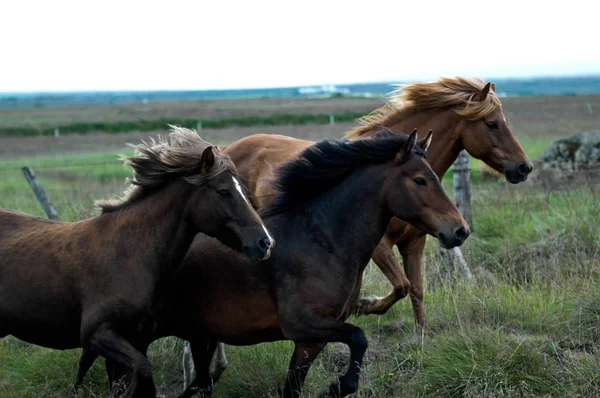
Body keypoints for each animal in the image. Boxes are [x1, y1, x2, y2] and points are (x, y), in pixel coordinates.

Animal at [0, 127, 274, 398]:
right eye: (223, 191)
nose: (265, 242)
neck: (127, 252)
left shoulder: (135, 338)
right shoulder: (97, 334)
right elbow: (140, 372)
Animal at [92, 129, 468, 396]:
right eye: (419, 180)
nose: (460, 231)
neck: (321, 238)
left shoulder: (309, 341)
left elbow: (294, 386)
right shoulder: (304, 325)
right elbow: (359, 338)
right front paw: (334, 388)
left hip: (194, 336)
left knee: (197, 381)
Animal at [218, 76, 532, 334]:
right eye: (491, 124)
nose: (524, 167)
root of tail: (226, 150)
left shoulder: (414, 244)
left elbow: (416, 289)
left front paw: (423, 335)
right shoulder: (379, 245)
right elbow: (402, 285)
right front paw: (366, 305)